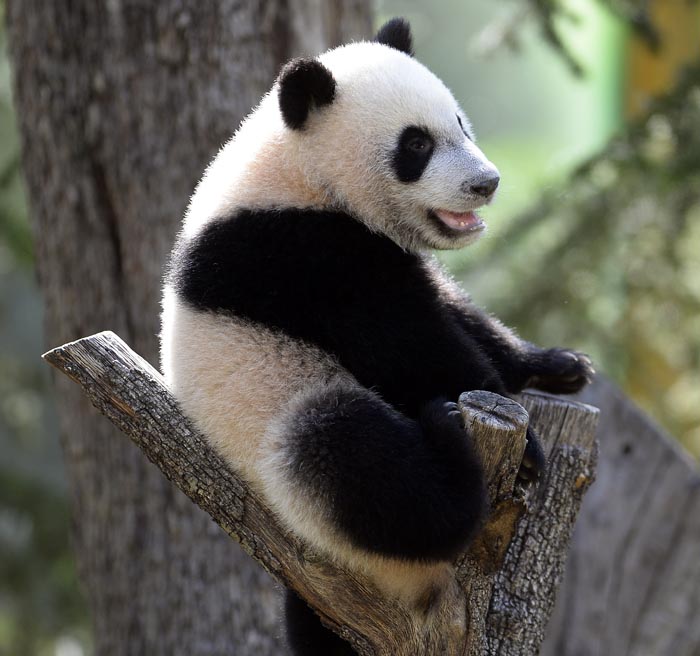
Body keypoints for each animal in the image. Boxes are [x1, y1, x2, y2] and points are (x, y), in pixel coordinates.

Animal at [161, 19, 592, 656]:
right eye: (416, 145)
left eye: (460, 122)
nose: (486, 183)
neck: (297, 169)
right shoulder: (296, 251)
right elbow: (404, 339)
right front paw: (528, 444)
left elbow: (449, 307)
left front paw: (556, 364)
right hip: (286, 427)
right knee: (355, 457)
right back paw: (450, 450)